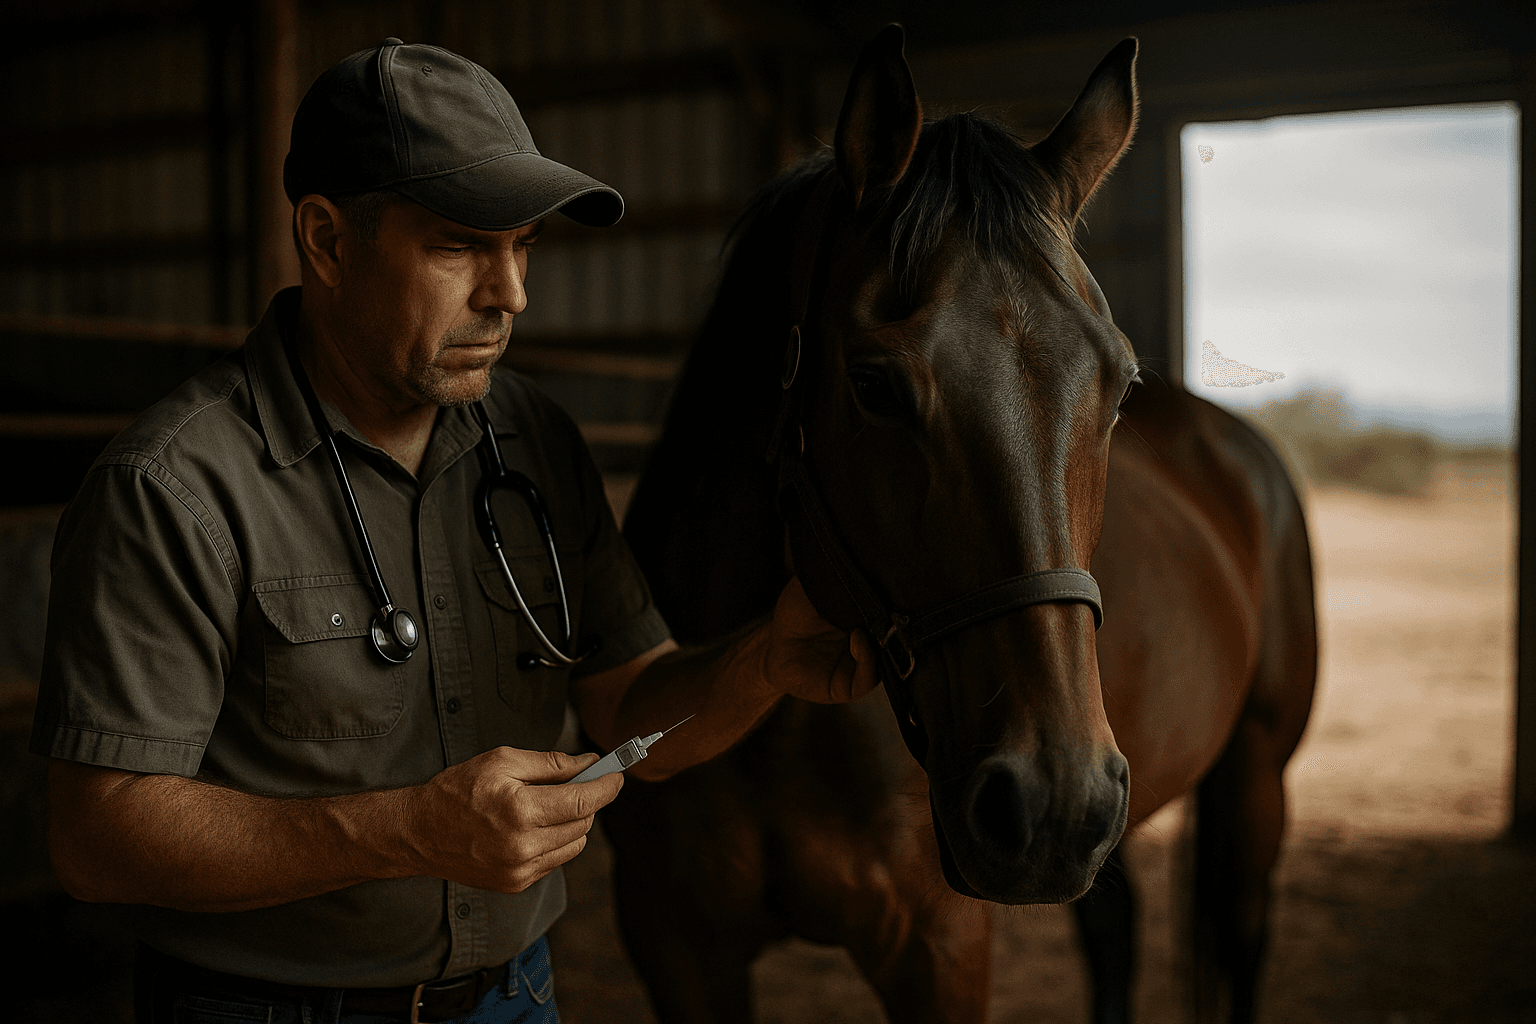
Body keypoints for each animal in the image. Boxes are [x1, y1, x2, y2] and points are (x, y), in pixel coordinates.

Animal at [603, 26, 1316, 1024]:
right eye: (872, 385)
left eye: (1119, 385)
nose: (1050, 802)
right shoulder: (674, 944)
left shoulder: (938, 943)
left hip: (1249, 779)